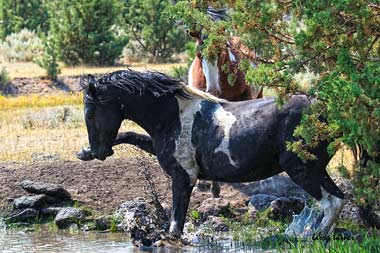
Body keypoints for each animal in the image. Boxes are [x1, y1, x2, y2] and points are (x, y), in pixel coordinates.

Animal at [82, 69, 344, 239]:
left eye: (89, 114)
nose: (100, 152)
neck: (172, 117)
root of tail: (327, 110)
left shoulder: (183, 177)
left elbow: (175, 229)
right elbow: (130, 135)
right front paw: (83, 154)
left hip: (302, 169)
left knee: (331, 202)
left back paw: (312, 236)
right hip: (315, 170)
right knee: (337, 200)